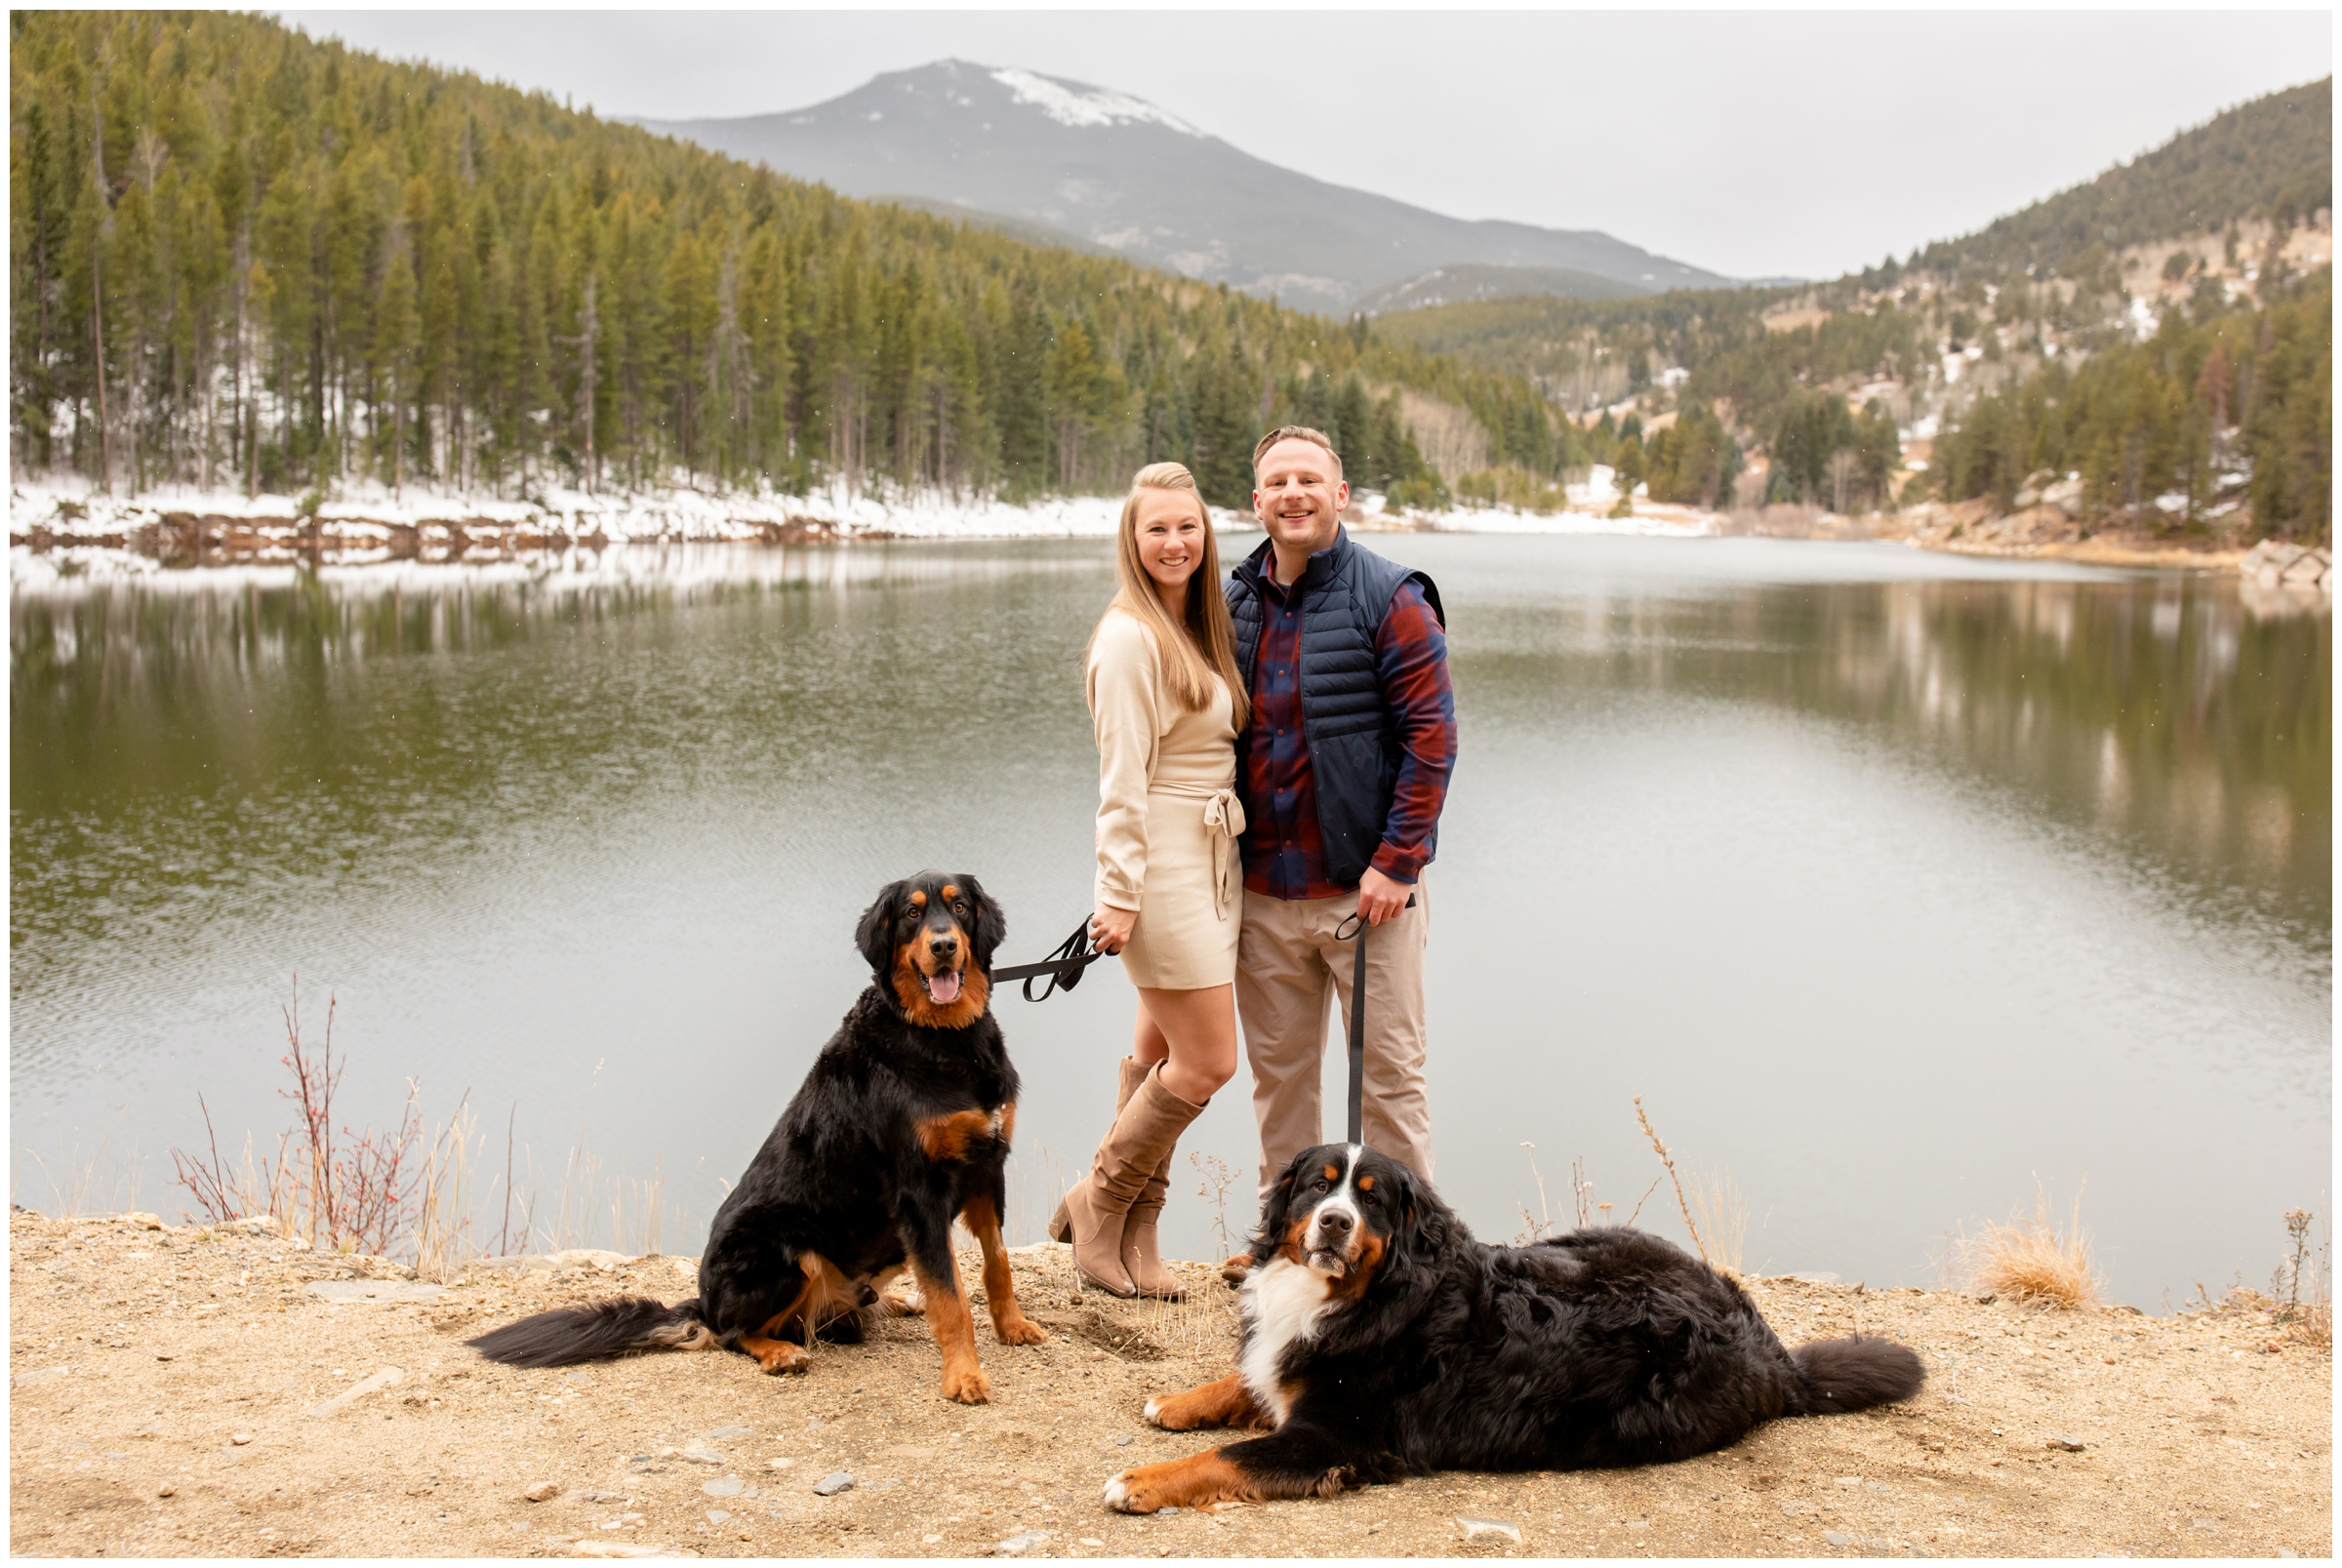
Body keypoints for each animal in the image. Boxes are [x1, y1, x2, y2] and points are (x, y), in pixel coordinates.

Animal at [470, 879, 1049, 1404]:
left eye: (959, 906)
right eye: (911, 913)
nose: (944, 945)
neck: (943, 1038)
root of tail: (703, 1301)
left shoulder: (988, 1165)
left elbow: (997, 1262)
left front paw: (1013, 1327)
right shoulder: (919, 1191)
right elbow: (951, 1296)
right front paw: (964, 1376)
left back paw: (894, 1301)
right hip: (783, 1250)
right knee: (732, 1333)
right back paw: (779, 1352)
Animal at [1096, 1146, 1920, 1516]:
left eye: (1373, 1200)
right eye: (1316, 1186)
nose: (1333, 1223)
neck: (1371, 1296)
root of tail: (1772, 1351)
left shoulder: (1336, 1438)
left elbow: (1227, 1455)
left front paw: (1140, 1479)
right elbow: (1253, 1377)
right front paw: (1178, 1401)